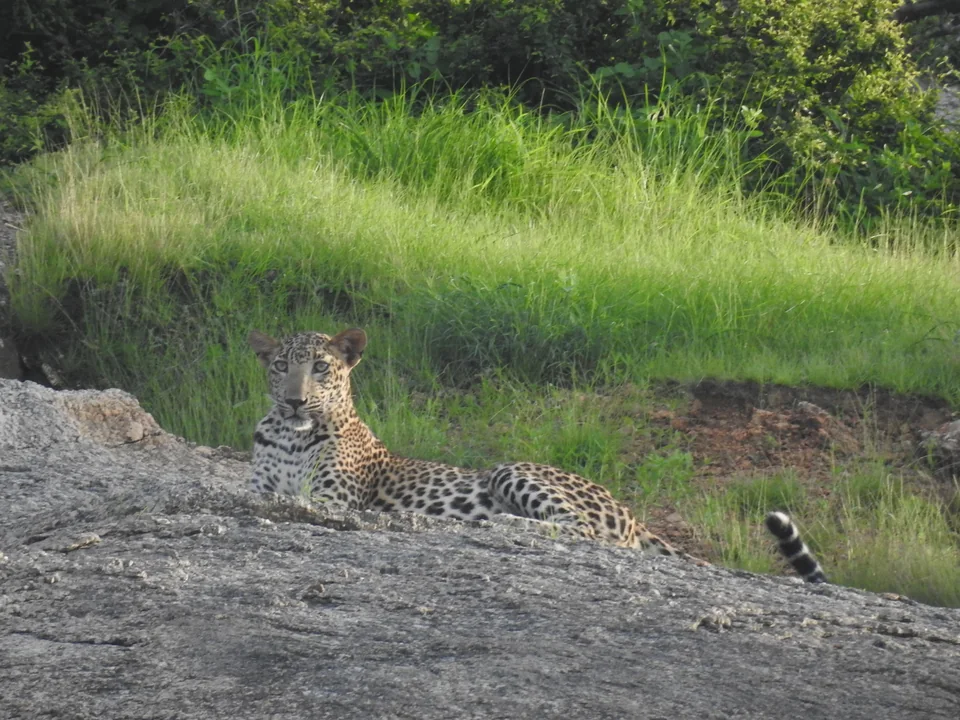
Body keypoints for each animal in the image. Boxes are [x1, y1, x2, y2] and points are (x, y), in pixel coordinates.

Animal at [249, 327, 826, 581]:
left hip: (515, 468)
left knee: (583, 533)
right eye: (279, 365)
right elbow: (264, 495)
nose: (294, 398)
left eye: (321, 367)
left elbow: (300, 502)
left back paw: (499, 524)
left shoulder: (337, 499)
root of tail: (631, 511)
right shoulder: (261, 484)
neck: (291, 434)